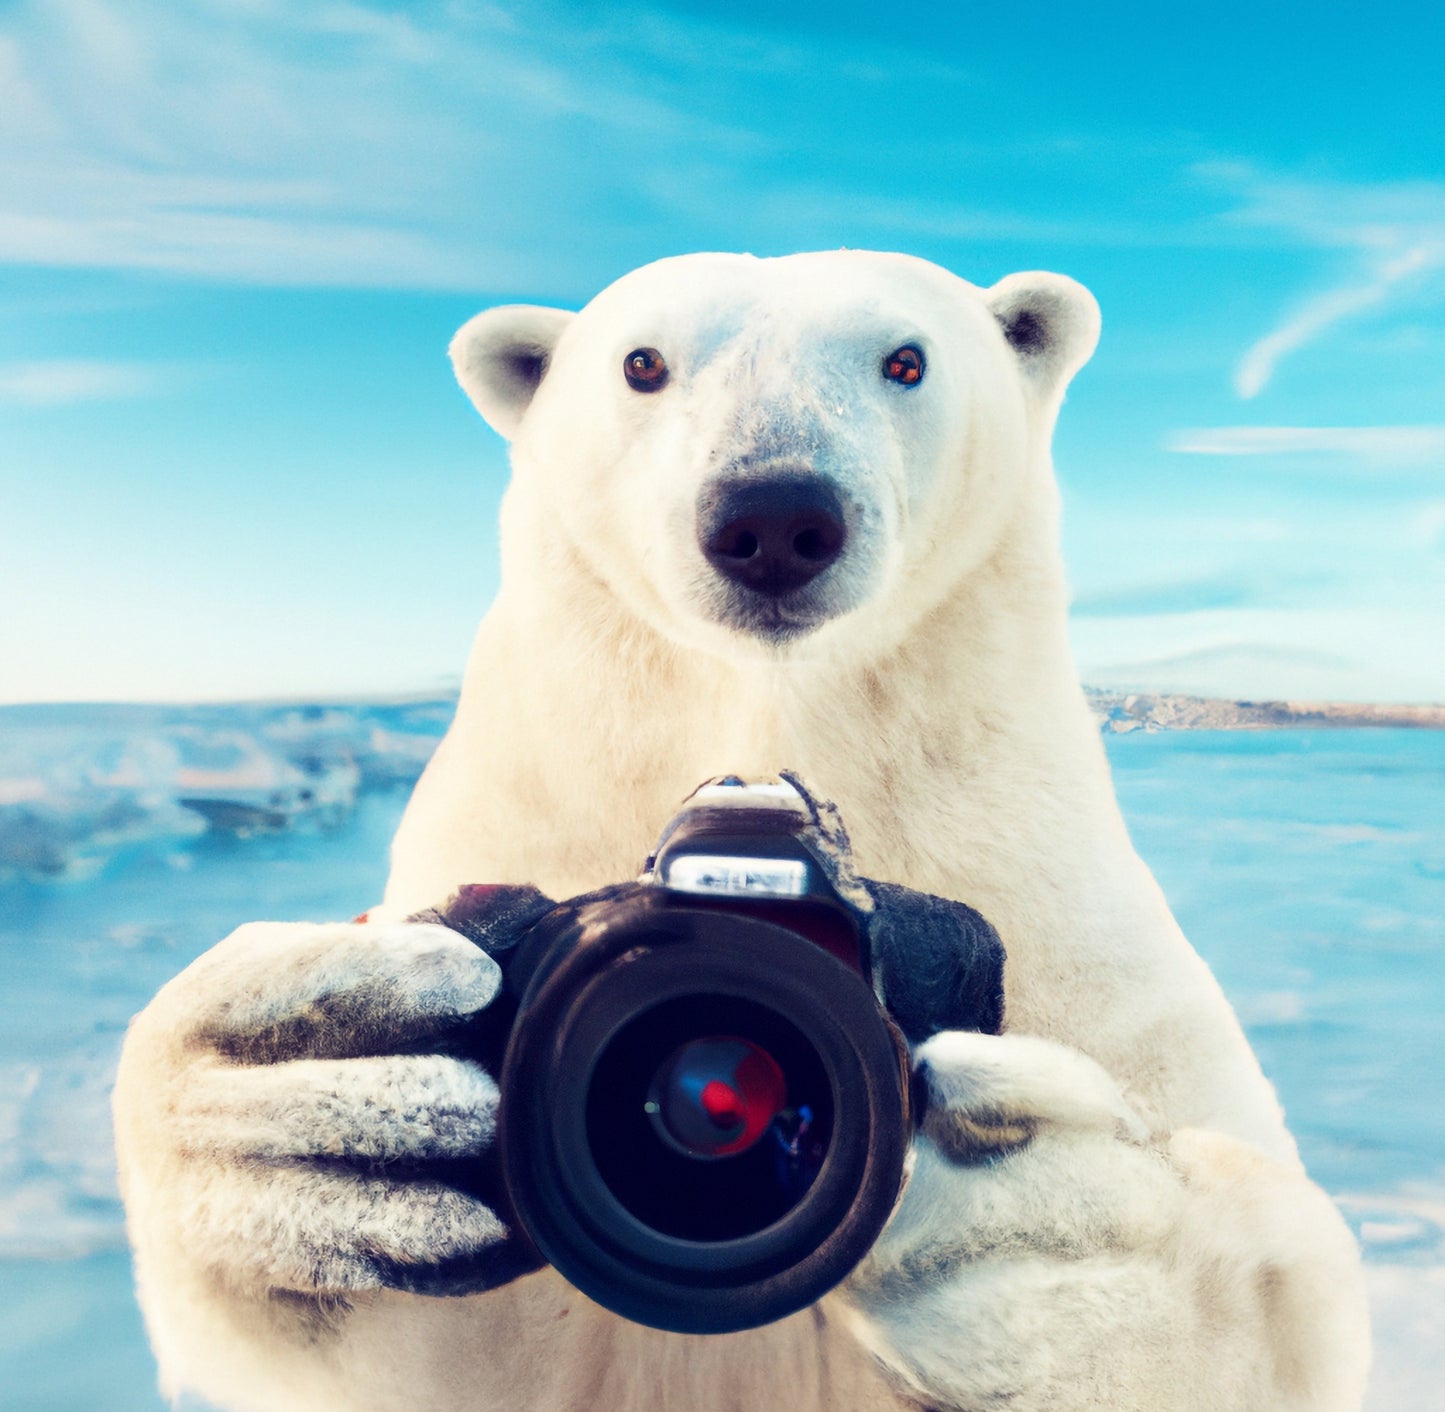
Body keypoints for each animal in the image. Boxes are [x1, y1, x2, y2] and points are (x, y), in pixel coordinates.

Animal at [112, 250, 1371, 1412]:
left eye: (903, 359)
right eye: (641, 362)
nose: (771, 517)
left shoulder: (1058, 914)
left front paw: (1034, 1240)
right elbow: (452, 1343)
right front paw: (295, 1106)